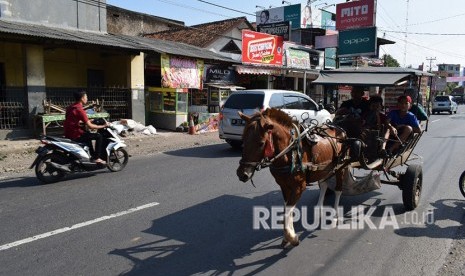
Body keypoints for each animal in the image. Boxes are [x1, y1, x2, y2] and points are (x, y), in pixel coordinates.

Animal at [237, 108, 346, 246]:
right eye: (243, 140)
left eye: (261, 143)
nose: (242, 174)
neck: (289, 152)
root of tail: (339, 129)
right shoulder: (284, 186)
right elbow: (286, 209)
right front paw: (287, 235)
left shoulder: (299, 187)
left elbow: (287, 210)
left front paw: (292, 237)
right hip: (324, 169)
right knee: (324, 185)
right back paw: (319, 209)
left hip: (341, 167)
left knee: (338, 190)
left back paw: (336, 215)